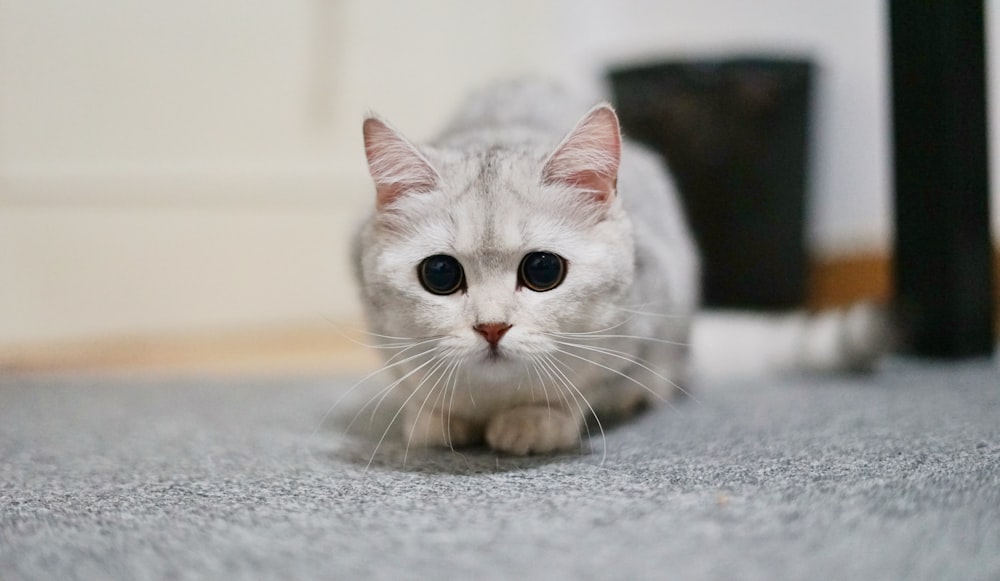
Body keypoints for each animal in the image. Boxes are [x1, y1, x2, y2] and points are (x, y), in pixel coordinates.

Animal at [352, 81, 884, 456]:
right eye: (440, 276)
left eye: (542, 271)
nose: (492, 327)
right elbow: (417, 385)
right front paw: (434, 416)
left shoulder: (642, 327)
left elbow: (585, 387)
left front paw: (537, 420)